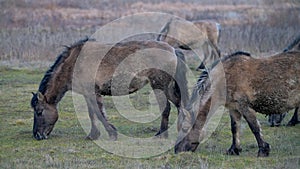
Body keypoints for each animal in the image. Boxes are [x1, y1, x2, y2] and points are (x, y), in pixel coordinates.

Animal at [30, 38, 188, 140]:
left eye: (39, 111)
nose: (37, 135)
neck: (74, 63)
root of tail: (173, 50)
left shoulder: (92, 93)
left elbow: (99, 113)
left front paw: (112, 133)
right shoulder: (88, 94)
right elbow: (93, 114)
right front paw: (93, 135)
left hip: (159, 86)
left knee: (166, 108)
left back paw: (162, 134)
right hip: (167, 87)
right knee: (179, 105)